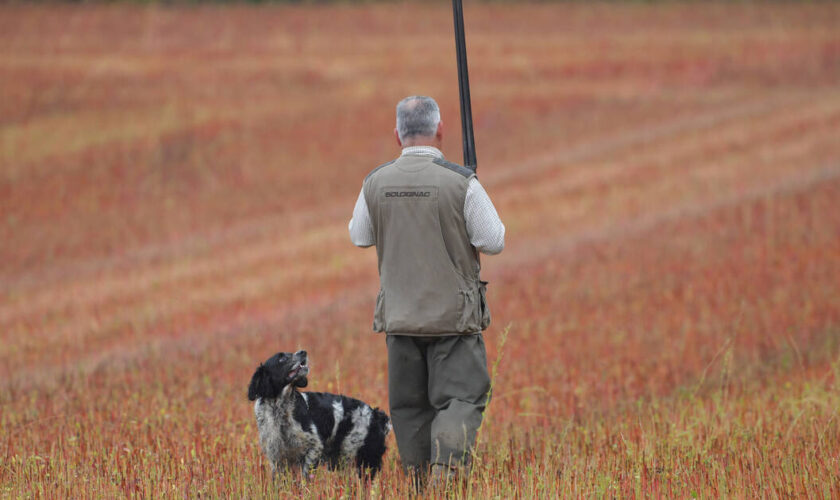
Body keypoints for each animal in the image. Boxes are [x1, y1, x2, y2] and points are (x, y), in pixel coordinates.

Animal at [246, 350, 390, 478]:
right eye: (281, 358)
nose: (303, 351)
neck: (280, 408)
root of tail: (376, 414)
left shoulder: (314, 446)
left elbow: (305, 476)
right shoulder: (276, 456)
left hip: (358, 457)